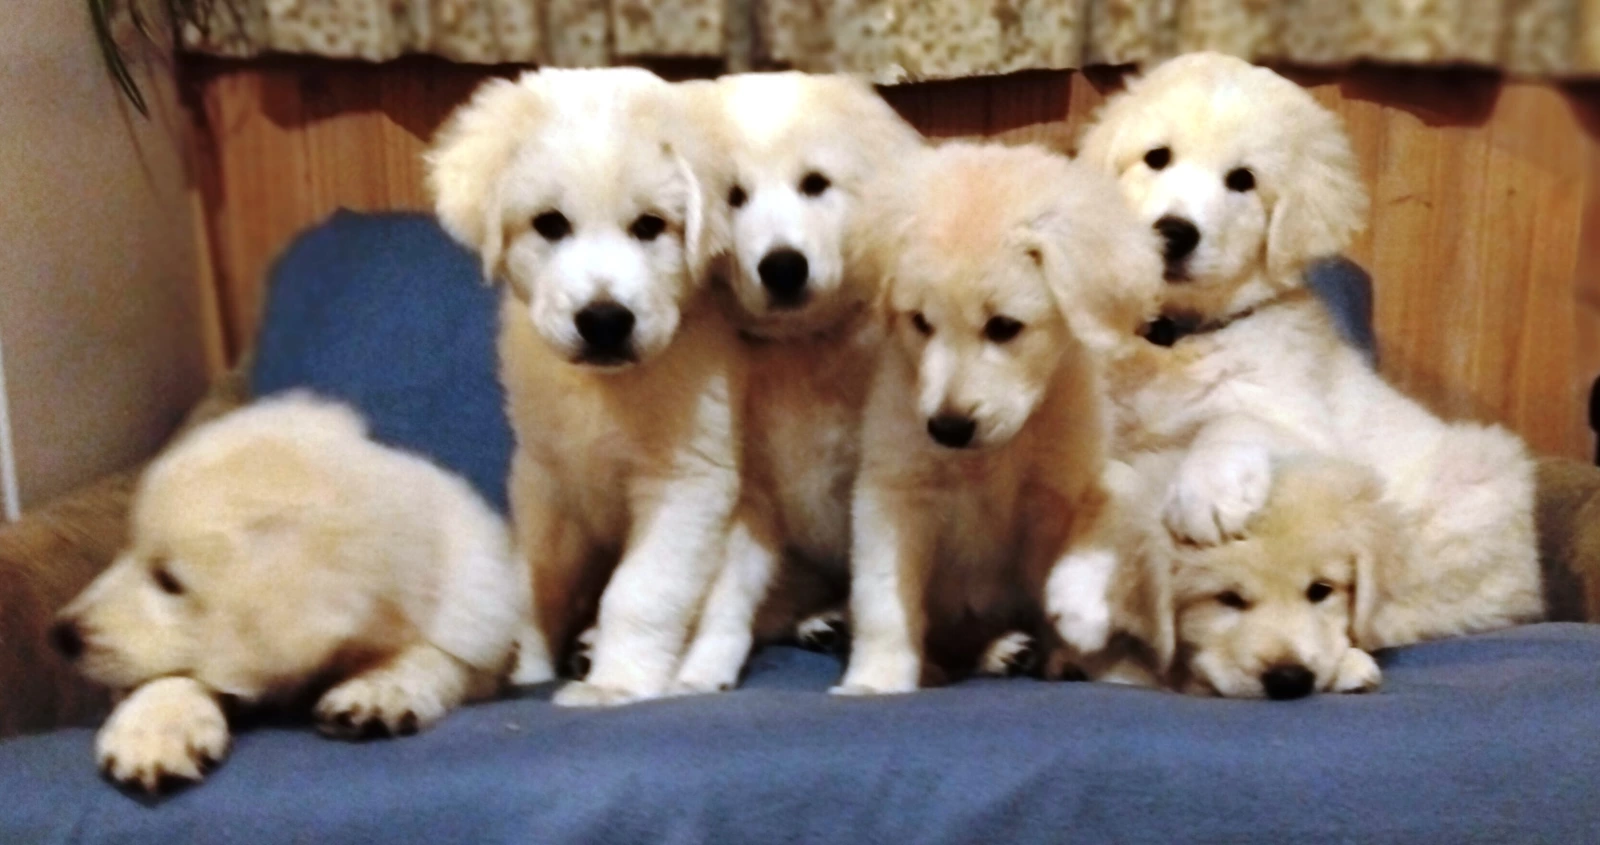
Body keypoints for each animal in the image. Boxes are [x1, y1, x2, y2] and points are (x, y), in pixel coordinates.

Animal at [52, 393, 520, 792]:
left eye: (169, 580)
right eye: (126, 547)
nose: (60, 635)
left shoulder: (479, 641)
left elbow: (432, 655)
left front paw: (380, 690)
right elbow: (175, 674)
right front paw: (153, 729)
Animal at [427, 68, 746, 706]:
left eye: (650, 226)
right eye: (550, 224)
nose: (604, 321)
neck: (602, 390)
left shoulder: (688, 482)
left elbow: (640, 592)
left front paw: (616, 683)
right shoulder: (545, 478)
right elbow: (535, 579)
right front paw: (525, 666)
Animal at [667, 72, 924, 694]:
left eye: (815, 185)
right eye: (733, 196)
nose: (783, 268)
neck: (803, 348)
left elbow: (885, 587)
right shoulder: (750, 493)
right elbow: (725, 596)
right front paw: (700, 672)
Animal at [832, 141, 1164, 694]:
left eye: (1004, 326)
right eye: (920, 321)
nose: (947, 428)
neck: (991, 457)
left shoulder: (1069, 479)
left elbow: (1115, 499)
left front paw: (1077, 614)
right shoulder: (894, 490)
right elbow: (885, 601)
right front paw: (876, 680)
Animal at [1076, 52, 1543, 647]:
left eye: (1243, 181)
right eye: (1156, 157)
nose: (1173, 233)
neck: (1176, 337)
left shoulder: (1305, 425)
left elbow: (1234, 419)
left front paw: (1207, 493)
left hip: (1477, 479)